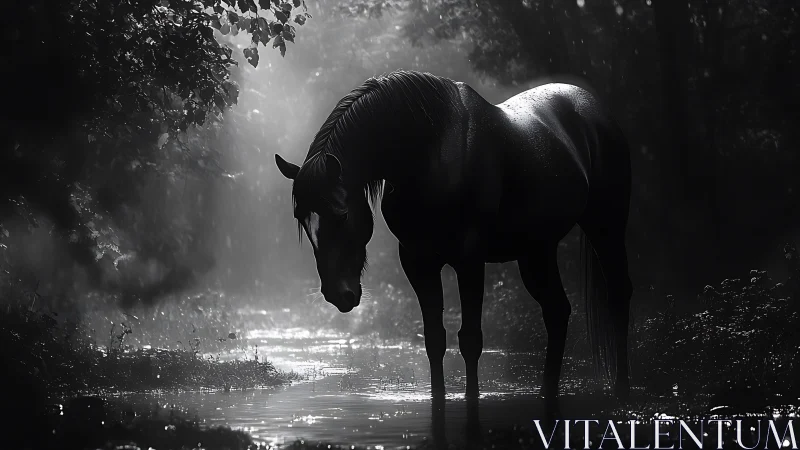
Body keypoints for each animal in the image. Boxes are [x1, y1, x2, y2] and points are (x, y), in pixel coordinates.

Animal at [275, 70, 632, 409]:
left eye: (342, 214)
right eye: (302, 221)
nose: (338, 294)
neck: (431, 154)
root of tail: (592, 106)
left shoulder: (469, 260)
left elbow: (470, 339)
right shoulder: (418, 261)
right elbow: (434, 339)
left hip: (606, 227)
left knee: (618, 295)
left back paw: (622, 390)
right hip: (537, 251)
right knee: (557, 312)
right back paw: (547, 394)